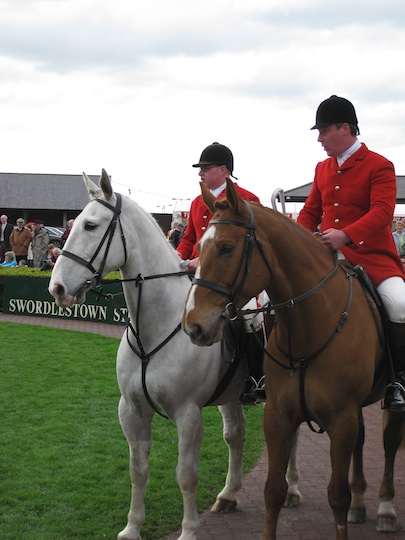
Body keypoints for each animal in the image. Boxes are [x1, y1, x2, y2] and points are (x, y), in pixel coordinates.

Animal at [48, 170, 301, 540]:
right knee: (235, 435)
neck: (156, 328)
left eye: (91, 225)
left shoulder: (188, 414)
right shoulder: (132, 411)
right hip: (230, 395)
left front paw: (189, 530)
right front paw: (132, 527)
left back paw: (293, 488)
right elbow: (138, 469)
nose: (57, 288)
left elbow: (186, 475)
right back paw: (229, 494)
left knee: (291, 435)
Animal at [182, 177, 405, 540]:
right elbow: (273, 490)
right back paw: (361, 503)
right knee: (362, 442)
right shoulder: (278, 415)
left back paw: (385, 508)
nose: (193, 324)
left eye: (227, 248)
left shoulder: (340, 419)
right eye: (198, 248)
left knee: (389, 442)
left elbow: (336, 495)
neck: (310, 325)